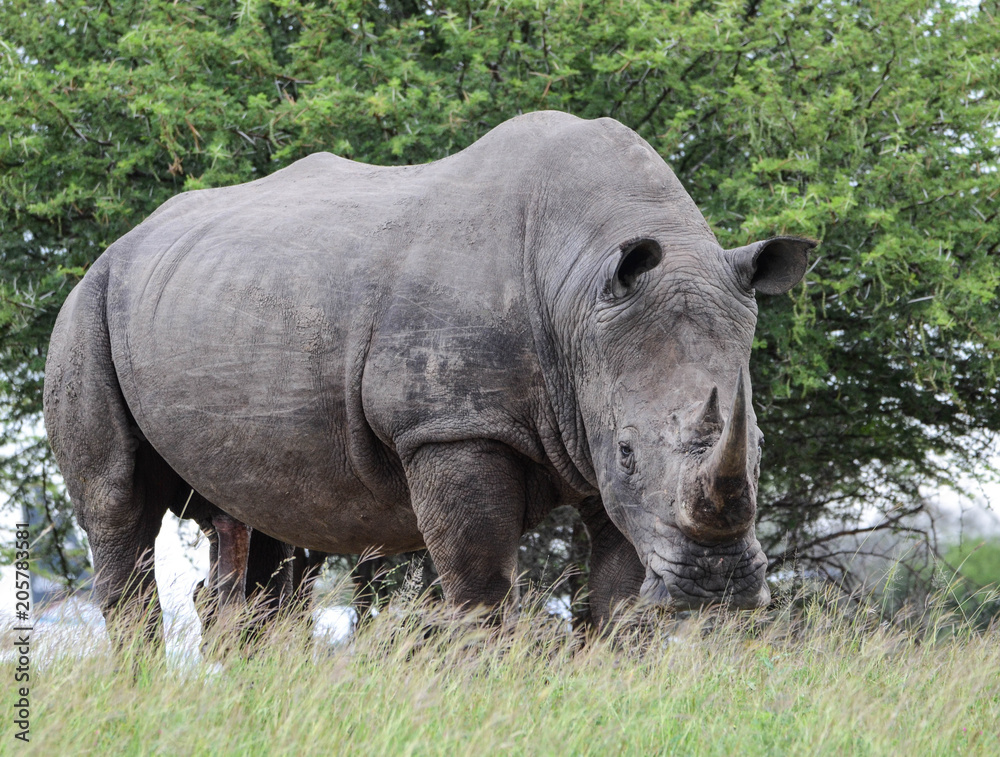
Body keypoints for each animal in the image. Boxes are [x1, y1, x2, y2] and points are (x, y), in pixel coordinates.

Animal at [43, 111, 812, 645]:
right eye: (627, 450)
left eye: (762, 449)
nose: (717, 586)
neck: (580, 285)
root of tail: (123, 241)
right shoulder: (449, 426)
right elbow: (481, 584)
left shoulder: (595, 418)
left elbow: (619, 593)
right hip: (86, 308)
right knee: (118, 507)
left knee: (257, 530)